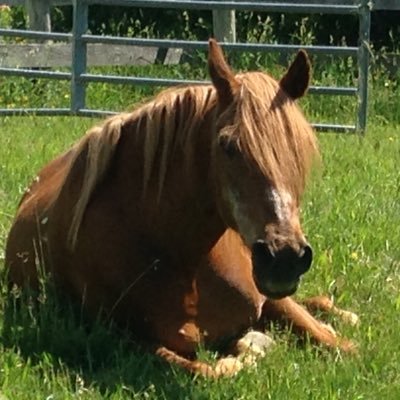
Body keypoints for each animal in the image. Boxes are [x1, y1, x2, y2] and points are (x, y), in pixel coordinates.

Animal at [4, 39, 358, 376]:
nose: (284, 258)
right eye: (226, 145)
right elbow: (211, 371)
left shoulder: (270, 298)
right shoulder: (127, 341)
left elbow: (342, 347)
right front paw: (248, 349)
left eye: (299, 149)